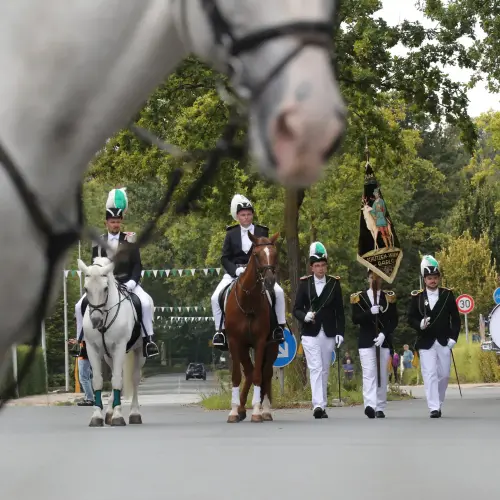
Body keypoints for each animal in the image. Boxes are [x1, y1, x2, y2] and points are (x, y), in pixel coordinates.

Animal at [76, 258, 146, 426]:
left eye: (106, 288)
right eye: (86, 288)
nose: (95, 321)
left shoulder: (120, 347)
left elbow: (117, 381)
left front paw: (118, 416)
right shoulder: (92, 349)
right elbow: (98, 381)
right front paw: (97, 416)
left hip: (139, 351)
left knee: (134, 378)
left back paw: (134, 414)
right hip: (109, 355)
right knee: (116, 373)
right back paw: (109, 412)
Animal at [226, 232, 282, 424]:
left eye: (275, 254)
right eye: (256, 255)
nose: (270, 281)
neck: (248, 300)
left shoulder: (260, 342)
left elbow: (259, 375)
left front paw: (257, 411)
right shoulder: (235, 342)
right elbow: (237, 376)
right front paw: (234, 411)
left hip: (272, 346)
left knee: (265, 373)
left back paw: (265, 410)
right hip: (244, 347)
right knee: (249, 372)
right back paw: (241, 409)